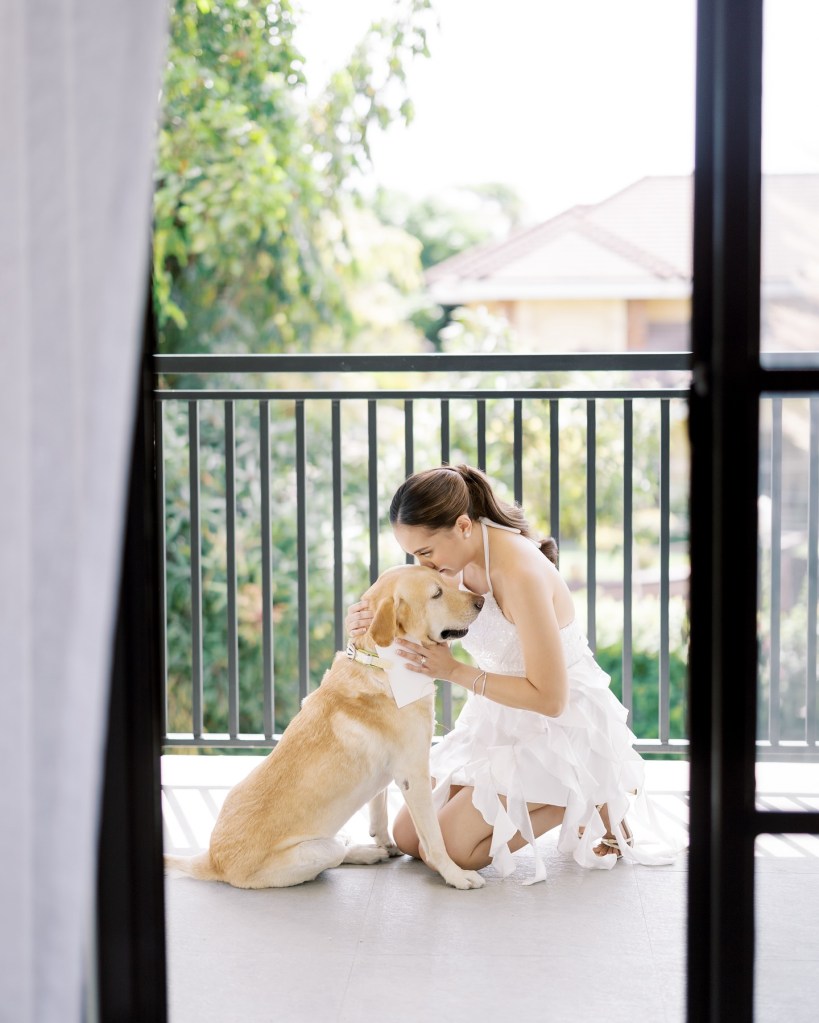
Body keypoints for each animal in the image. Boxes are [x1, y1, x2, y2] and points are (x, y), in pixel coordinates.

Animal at [164, 565, 486, 890]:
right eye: (437, 593)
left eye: (446, 580)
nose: (482, 601)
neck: (381, 663)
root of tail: (213, 859)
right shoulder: (414, 774)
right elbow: (434, 837)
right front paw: (454, 874)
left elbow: (379, 809)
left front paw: (384, 841)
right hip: (319, 850)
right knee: (335, 853)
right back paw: (362, 852)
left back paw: (368, 850)